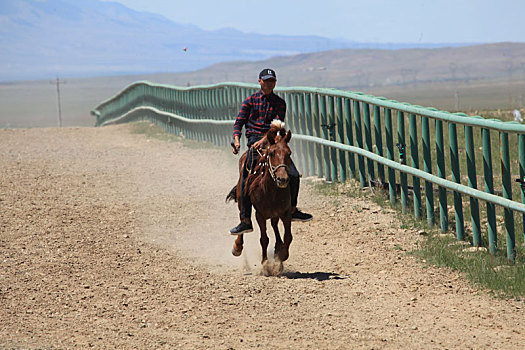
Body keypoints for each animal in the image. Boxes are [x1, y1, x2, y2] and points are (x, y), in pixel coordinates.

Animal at [224, 121, 292, 266]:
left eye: (289, 153)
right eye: (271, 153)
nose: (282, 179)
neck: (270, 191)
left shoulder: (286, 212)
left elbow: (288, 236)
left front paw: (282, 255)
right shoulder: (260, 215)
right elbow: (264, 239)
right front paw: (265, 263)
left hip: (275, 213)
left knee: (274, 225)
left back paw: (278, 246)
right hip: (242, 201)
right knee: (243, 218)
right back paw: (237, 247)